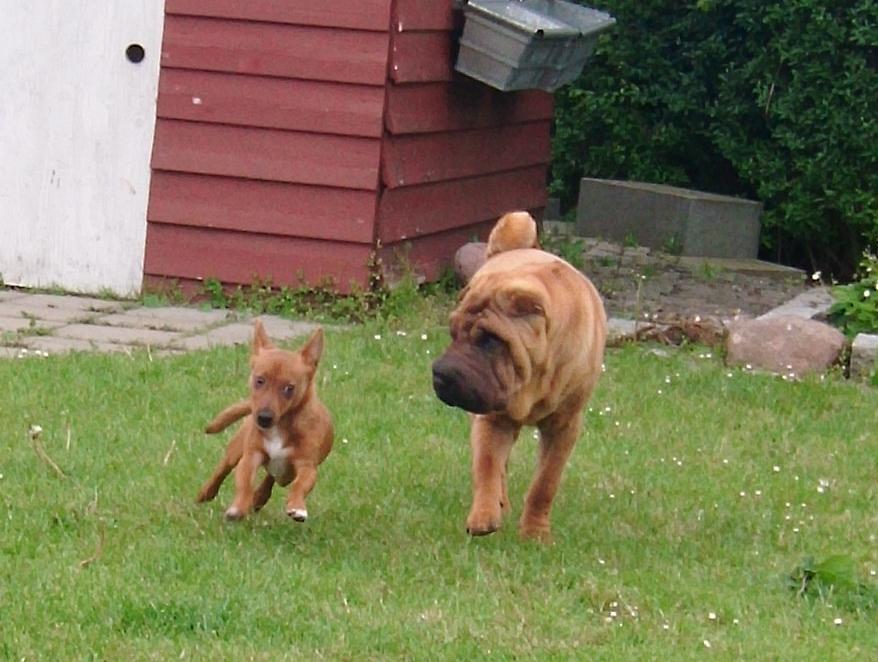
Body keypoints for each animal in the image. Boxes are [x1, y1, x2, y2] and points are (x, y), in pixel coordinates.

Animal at [196, 322, 334, 524]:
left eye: (289, 388)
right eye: (259, 381)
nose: (263, 417)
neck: (281, 427)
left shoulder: (306, 466)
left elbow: (300, 485)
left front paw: (297, 507)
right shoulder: (250, 457)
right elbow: (244, 483)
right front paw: (238, 508)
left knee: (270, 479)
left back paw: (259, 497)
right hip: (235, 450)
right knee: (222, 469)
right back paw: (206, 492)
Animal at [432, 213, 608, 544]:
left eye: (490, 340)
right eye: (453, 332)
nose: (440, 373)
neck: (533, 381)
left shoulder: (565, 427)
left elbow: (545, 483)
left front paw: (535, 533)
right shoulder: (492, 419)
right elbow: (487, 466)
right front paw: (484, 516)